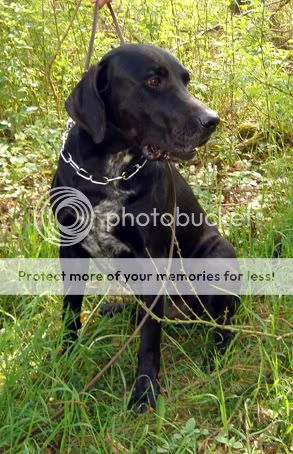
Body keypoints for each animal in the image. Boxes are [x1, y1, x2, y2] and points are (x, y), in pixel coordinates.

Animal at [52, 45, 237, 412]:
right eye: (153, 81)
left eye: (185, 80)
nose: (211, 120)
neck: (108, 172)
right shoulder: (70, 250)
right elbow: (70, 310)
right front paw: (66, 356)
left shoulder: (153, 256)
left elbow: (150, 337)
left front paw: (145, 389)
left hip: (218, 258)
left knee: (224, 324)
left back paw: (214, 357)